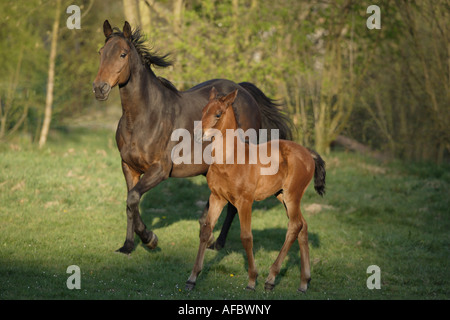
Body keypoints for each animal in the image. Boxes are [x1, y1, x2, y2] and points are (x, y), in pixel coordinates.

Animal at [93, 20, 294, 255]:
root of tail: (243, 91)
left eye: (123, 54)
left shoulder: (160, 170)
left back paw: (217, 243)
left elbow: (133, 198)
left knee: (233, 205)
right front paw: (127, 246)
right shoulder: (128, 167)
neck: (143, 118)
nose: (99, 88)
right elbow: (130, 204)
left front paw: (150, 239)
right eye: (101, 52)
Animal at [185, 87, 326, 292]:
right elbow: (205, 232)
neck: (230, 159)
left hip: (292, 195)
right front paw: (192, 278)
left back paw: (271, 279)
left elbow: (246, 237)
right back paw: (304, 281)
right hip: (282, 196)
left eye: (218, 114)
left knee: (294, 226)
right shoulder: (216, 197)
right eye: (203, 111)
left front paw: (252, 280)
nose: (197, 135)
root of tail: (308, 153)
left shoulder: (244, 202)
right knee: (303, 226)